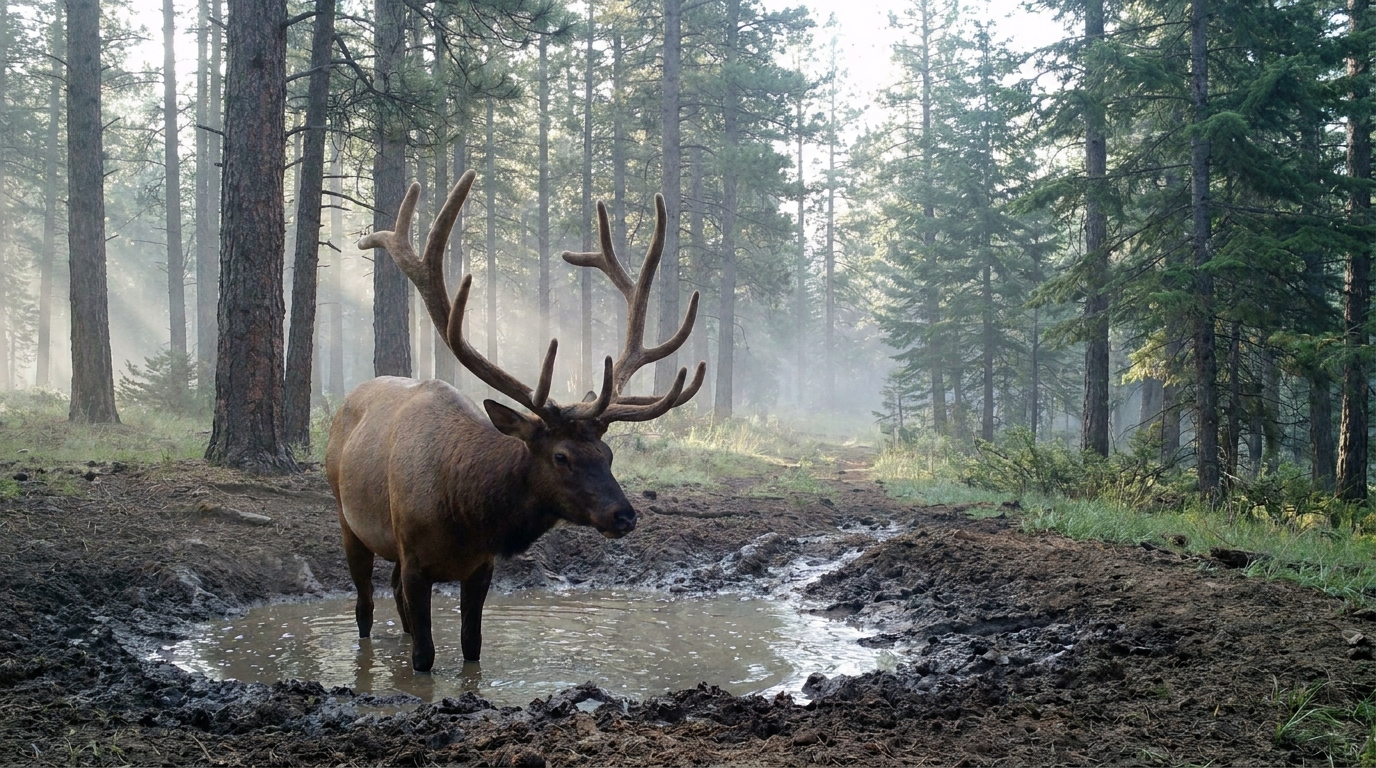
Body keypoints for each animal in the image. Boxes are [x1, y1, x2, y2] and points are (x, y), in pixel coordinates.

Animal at [325, 169, 705, 672]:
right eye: (561, 456)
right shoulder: (416, 561)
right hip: (348, 519)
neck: (464, 514)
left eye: (608, 453)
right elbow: (425, 657)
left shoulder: (480, 568)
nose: (624, 516)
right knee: (365, 606)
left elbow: (472, 647)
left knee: (393, 603)